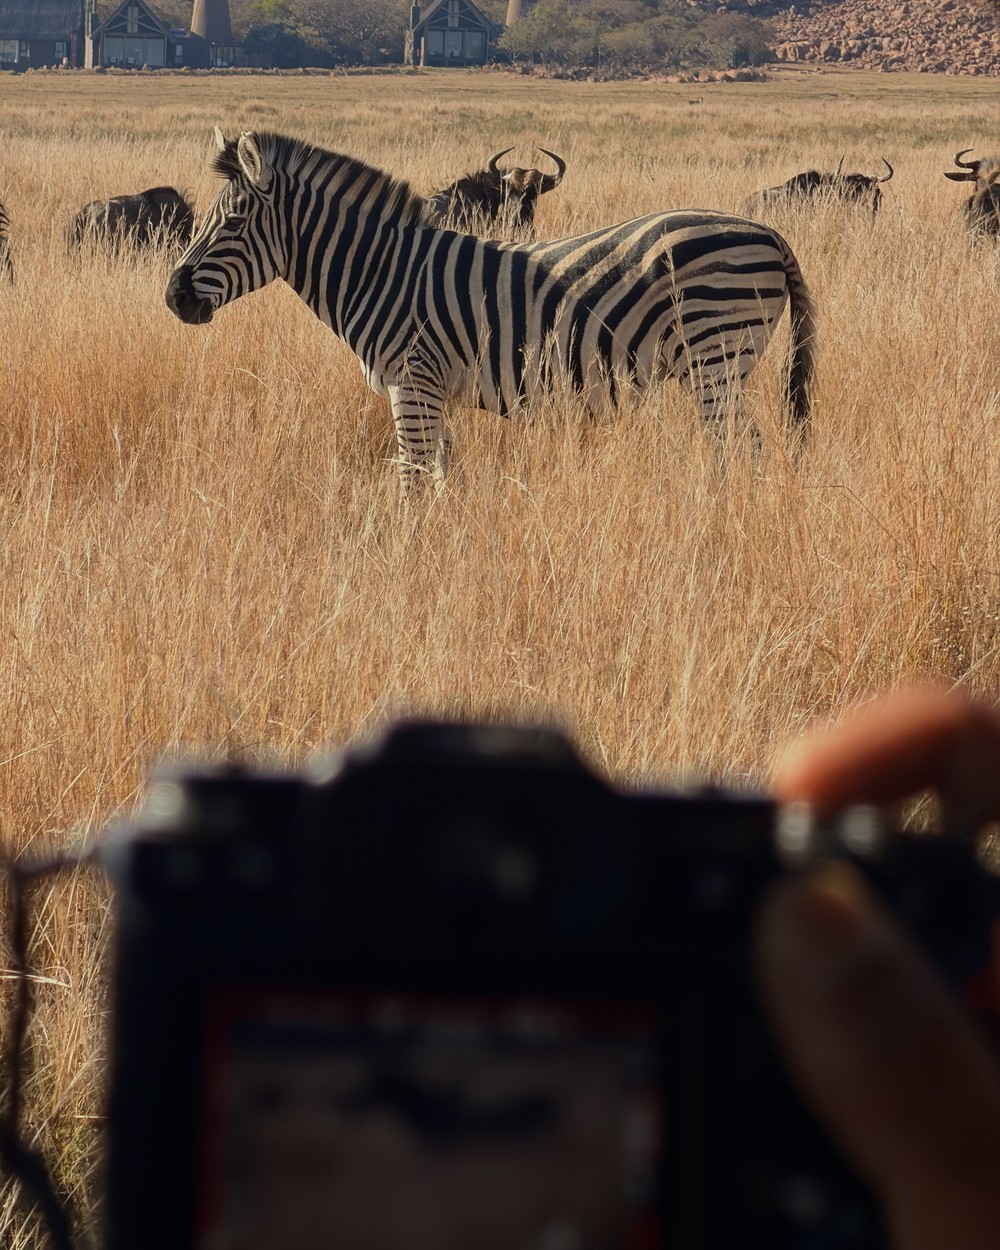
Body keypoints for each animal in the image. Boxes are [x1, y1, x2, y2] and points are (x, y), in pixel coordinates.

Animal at [166, 130, 816, 483]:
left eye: (233, 223)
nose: (174, 297)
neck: (380, 271)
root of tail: (768, 232)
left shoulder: (412, 383)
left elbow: (411, 479)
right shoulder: (433, 390)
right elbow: (441, 477)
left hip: (716, 358)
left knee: (741, 452)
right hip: (718, 365)